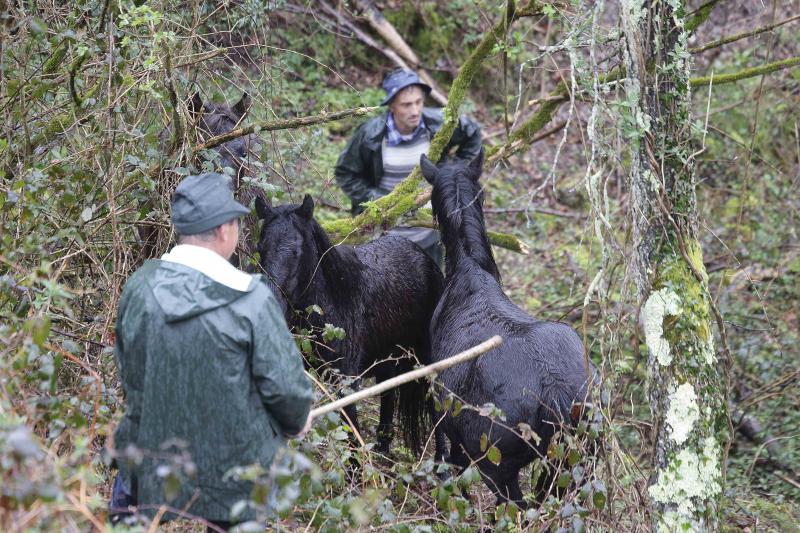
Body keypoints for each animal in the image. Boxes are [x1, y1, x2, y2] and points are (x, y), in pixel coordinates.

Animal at [254, 194, 444, 453]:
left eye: (296, 250)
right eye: (260, 248)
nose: (271, 300)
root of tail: (426, 259)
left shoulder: (345, 379)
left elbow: (351, 433)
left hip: (426, 356)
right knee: (388, 394)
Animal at [419, 151, 596, 508]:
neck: (469, 272)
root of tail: (556, 393)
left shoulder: (444, 416)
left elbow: (449, 462)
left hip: (497, 465)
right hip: (579, 459)